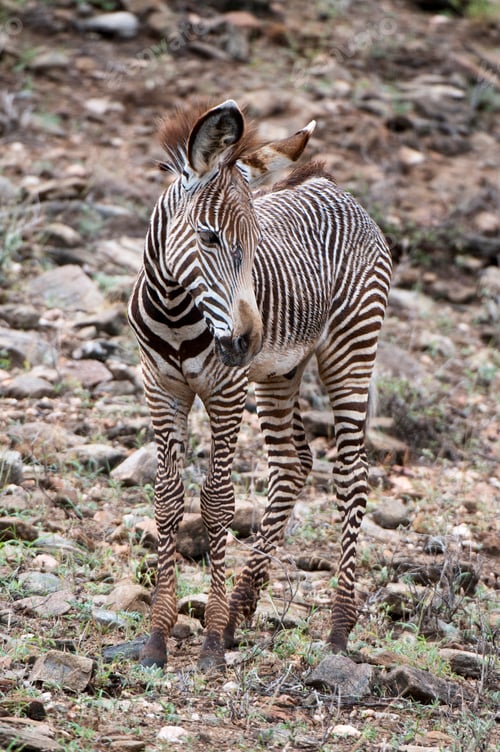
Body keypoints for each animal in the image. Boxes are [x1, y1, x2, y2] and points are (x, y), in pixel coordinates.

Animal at [128, 99, 392, 670]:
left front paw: (208, 643)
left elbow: (218, 502)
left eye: (255, 244)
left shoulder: (227, 392)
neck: (177, 310)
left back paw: (338, 630)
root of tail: (336, 187)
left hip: (350, 350)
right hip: (279, 372)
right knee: (294, 463)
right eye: (209, 237)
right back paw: (240, 610)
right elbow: (167, 498)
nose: (249, 338)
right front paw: (159, 638)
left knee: (352, 475)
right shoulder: (160, 388)